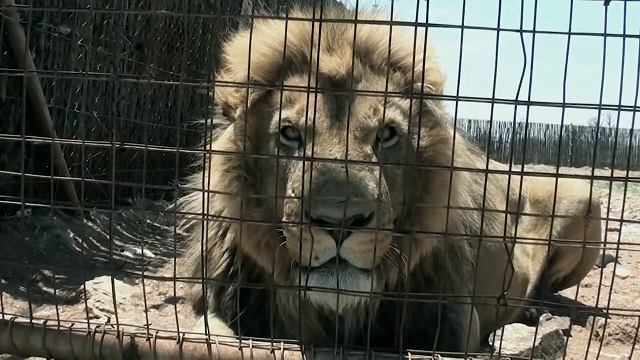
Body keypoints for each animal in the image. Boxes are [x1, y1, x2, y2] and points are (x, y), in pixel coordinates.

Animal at [176, 4, 604, 356]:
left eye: (386, 134)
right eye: (290, 133)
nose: (340, 222)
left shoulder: (454, 323)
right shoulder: (215, 300)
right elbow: (205, 336)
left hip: (582, 196)